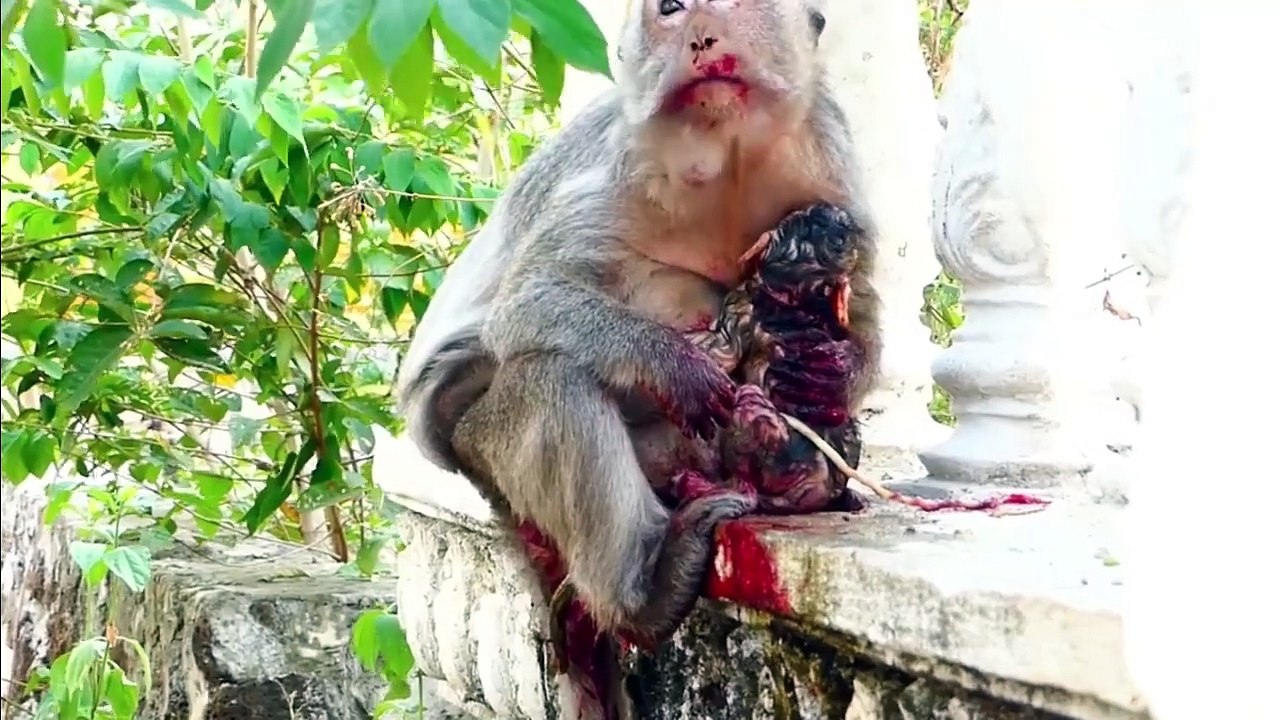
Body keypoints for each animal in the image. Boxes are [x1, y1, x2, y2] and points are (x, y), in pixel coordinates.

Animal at [394, 0, 883, 716]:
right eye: (671, 9)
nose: (703, 36)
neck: (725, 152)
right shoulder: (623, 166)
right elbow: (530, 301)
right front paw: (674, 364)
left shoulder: (831, 157)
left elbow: (863, 305)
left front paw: (830, 371)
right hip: (481, 438)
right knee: (552, 378)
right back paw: (642, 595)